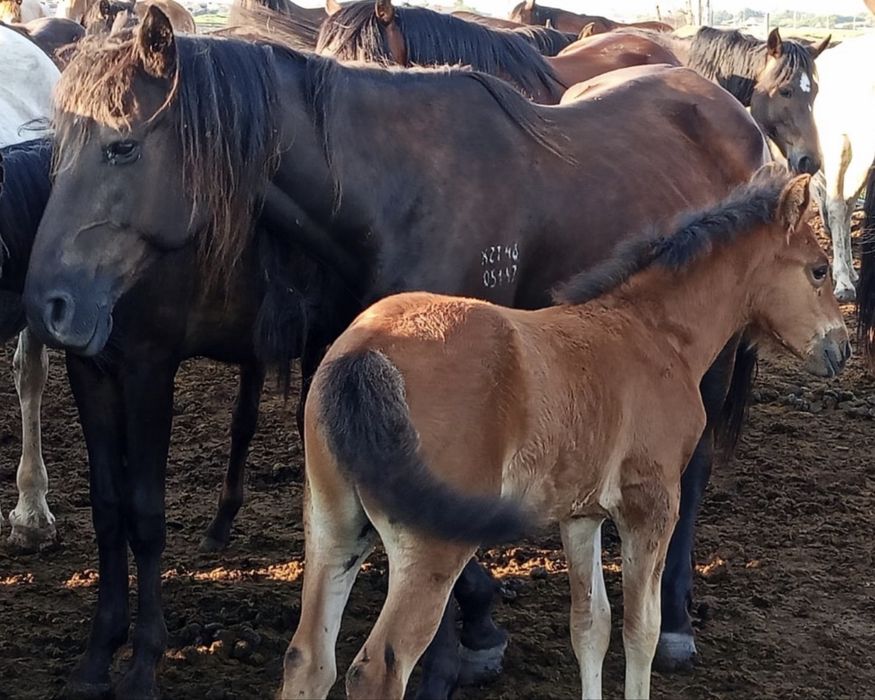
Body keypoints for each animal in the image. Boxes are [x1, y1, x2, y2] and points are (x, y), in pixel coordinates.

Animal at [23, 11, 770, 696]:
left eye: (121, 146)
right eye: (58, 147)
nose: (48, 303)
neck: (397, 191)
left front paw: (454, 657)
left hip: (710, 359)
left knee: (694, 474)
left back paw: (675, 622)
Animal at [285, 169, 849, 700]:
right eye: (819, 269)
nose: (840, 349)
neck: (656, 334)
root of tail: (364, 352)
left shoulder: (580, 515)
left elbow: (590, 628)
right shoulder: (651, 506)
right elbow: (640, 629)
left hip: (335, 527)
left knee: (308, 661)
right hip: (432, 543)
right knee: (376, 670)